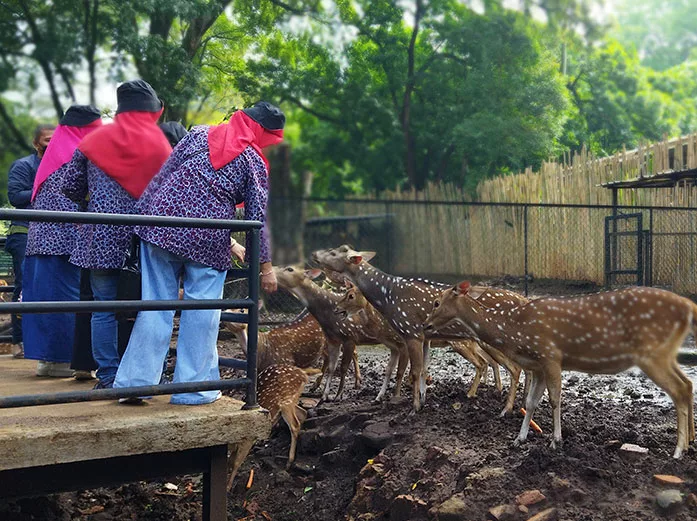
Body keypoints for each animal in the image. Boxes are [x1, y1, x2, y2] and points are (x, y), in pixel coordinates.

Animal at [424, 282, 696, 458]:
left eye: (436, 302)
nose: (425, 325)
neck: (514, 330)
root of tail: (689, 306)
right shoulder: (538, 365)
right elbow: (532, 402)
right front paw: (519, 439)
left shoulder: (550, 355)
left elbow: (554, 399)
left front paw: (556, 440)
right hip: (665, 353)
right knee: (687, 384)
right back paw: (688, 444)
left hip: (652, 353)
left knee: (679, 389)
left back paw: (677, 451)